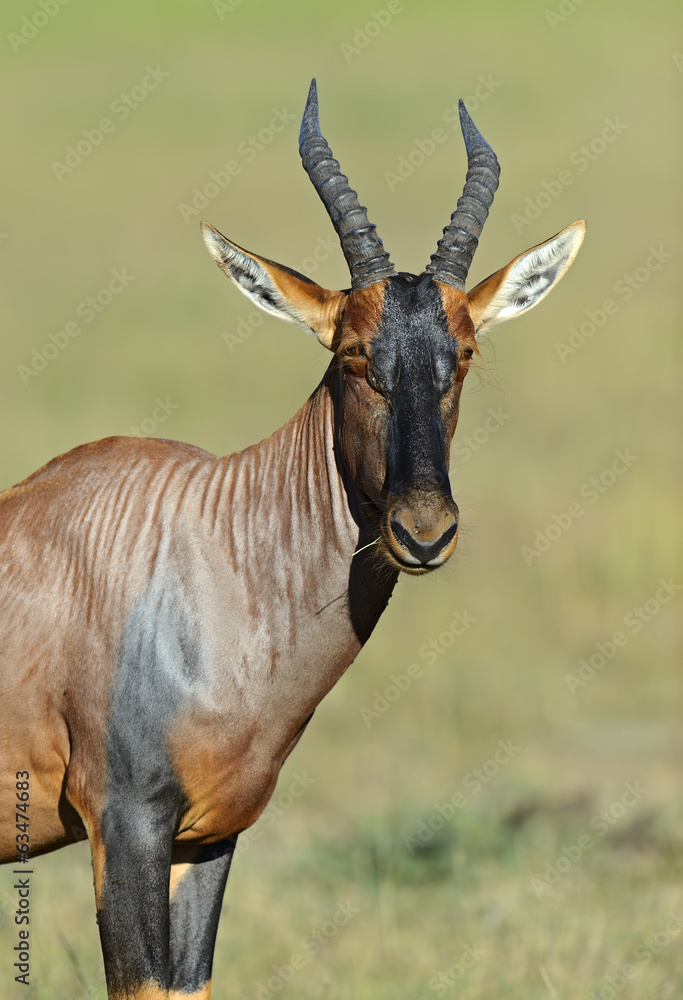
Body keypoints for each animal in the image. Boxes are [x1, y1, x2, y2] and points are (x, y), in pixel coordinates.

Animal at [0, 80, 584, 999]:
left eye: (461, 353)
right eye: (353, 355)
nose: (423, 531)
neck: (204, 546)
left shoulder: (206, 838)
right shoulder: (123, 823)